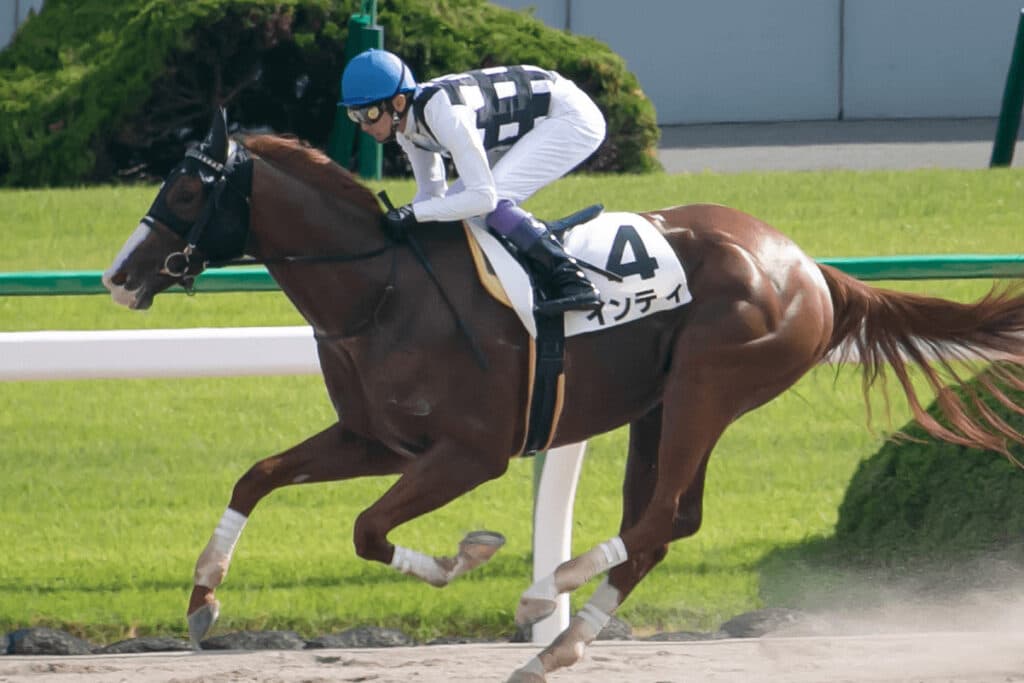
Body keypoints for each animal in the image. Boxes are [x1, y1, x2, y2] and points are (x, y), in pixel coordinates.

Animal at [103, 109, 1024, 682]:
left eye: (186, 189)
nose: (118, 275)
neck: (381, 289)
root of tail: (808, 264)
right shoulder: (375, 438)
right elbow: (257, 475)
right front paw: (202, 599)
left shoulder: (472, 451)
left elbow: (367, 528)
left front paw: (470, 553)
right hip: (664, 404)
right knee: (666, 523)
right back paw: (556, 644)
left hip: (710, 383)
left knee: (655, 519)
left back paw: (550, 591)